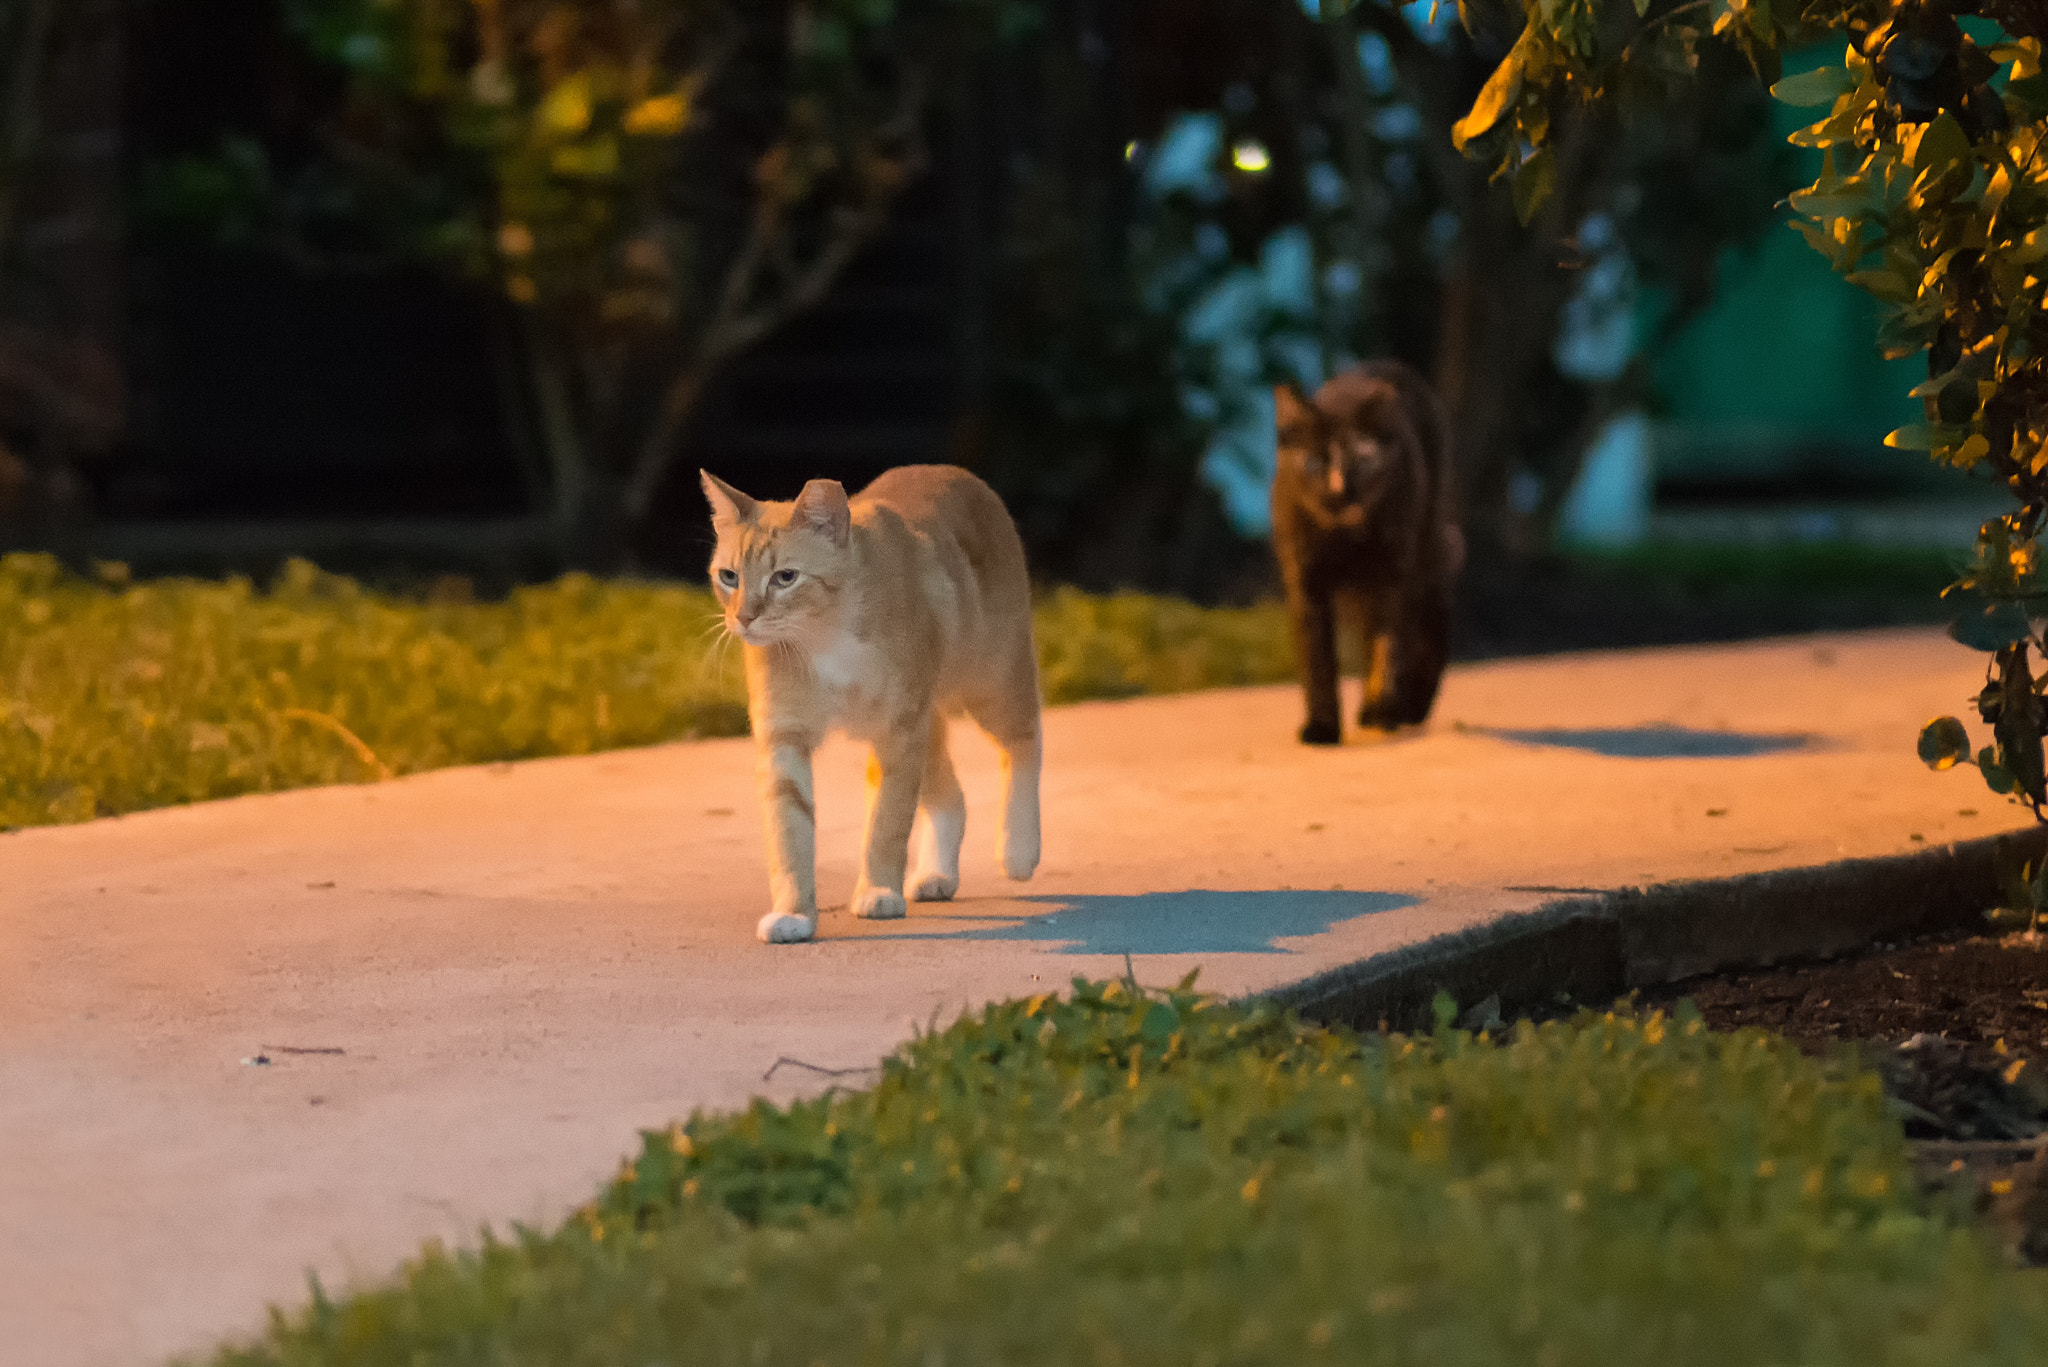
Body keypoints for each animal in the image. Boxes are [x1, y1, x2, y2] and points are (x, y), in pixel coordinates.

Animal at [704, 465, 1048, 946]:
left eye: (785, 577)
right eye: (729, 577)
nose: (744, 618)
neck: (825, 634)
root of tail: (952, 472)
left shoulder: (899, 732)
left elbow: (888, 823)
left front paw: (880, 891)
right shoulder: (785, 740)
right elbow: (789, 833)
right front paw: (793, 913)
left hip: (989, 682)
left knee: (1024, 741)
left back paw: (1019, 847)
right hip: (928, 720)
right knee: (953, 798)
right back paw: (938, 874)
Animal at [1269, 360, 1466, 750]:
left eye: (1361, 462)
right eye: (1314, 463)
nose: (1339, 492)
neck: (1343, 538)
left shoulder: (1393, 575)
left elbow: (1388, 646)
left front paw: (1382, 711)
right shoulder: (1306, 583)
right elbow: (1318, 660)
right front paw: (1322, 727)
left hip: (1427, 547)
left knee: (1433, 617)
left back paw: (1411, 705)